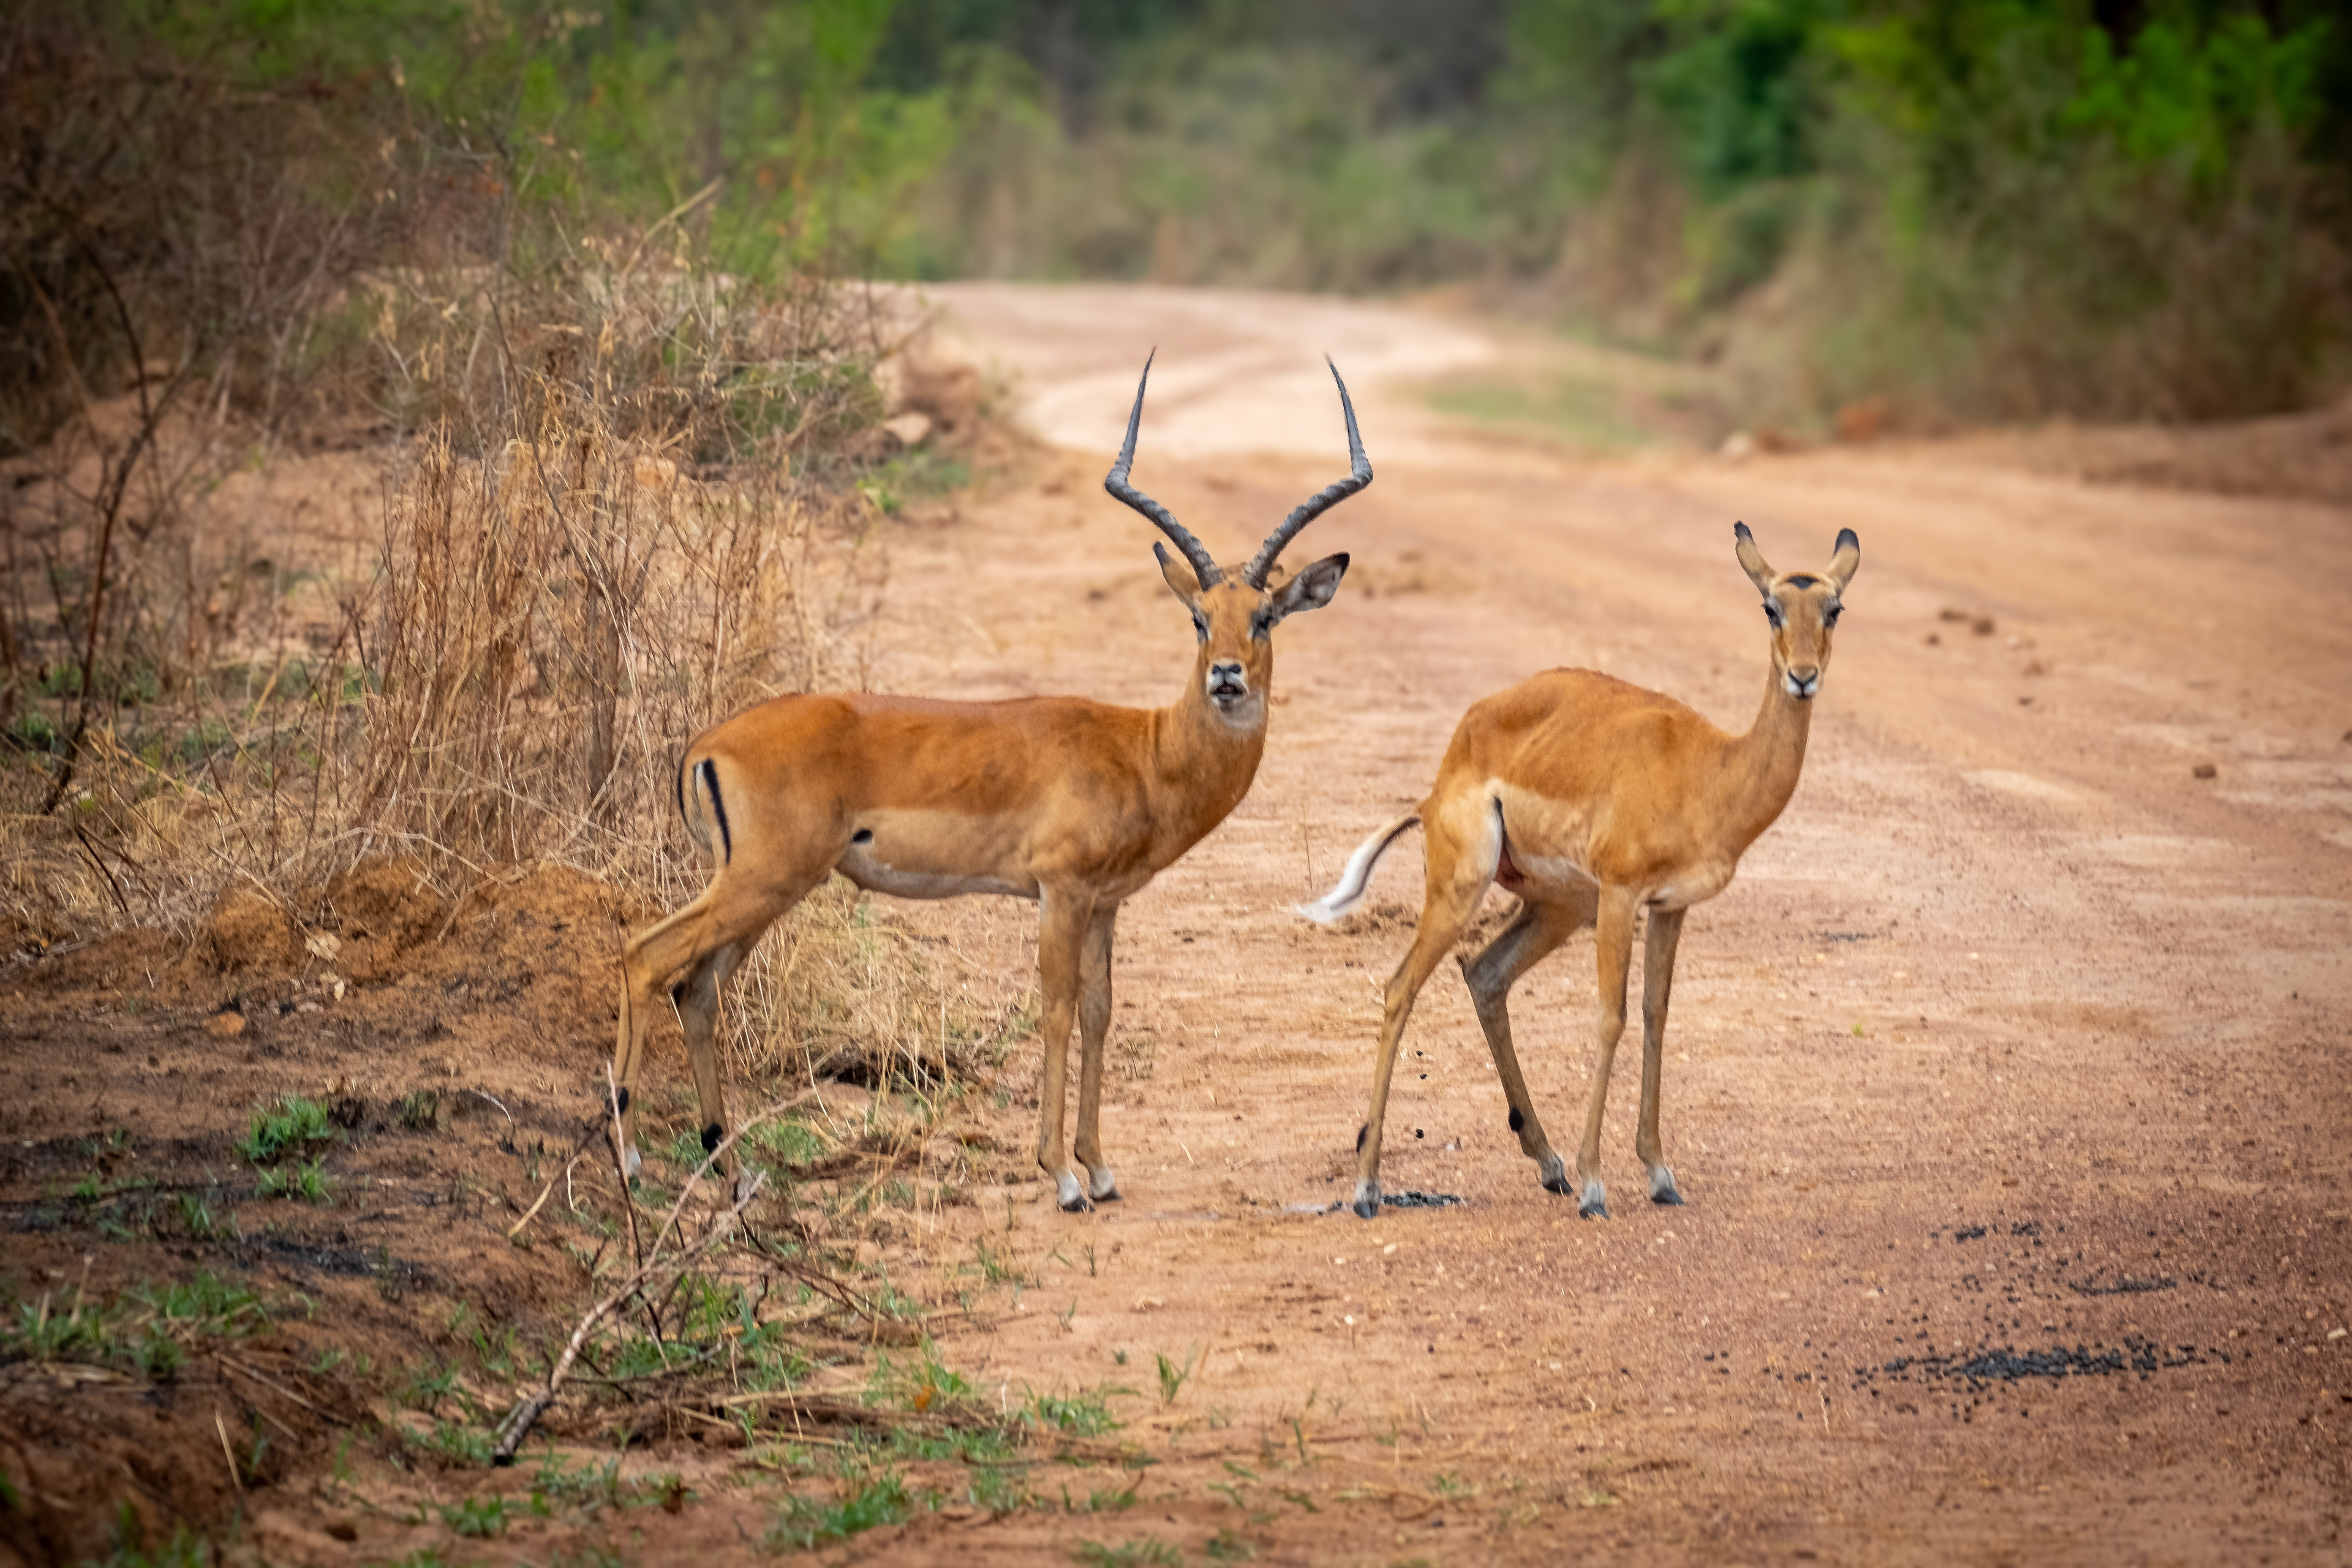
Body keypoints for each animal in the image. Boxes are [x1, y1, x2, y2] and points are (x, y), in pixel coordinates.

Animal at [614, 355, 1371, 1210]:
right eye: (1199, 618)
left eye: (1267, 616)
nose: (1228, 677)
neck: (1144, 751)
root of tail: (704, 744)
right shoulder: (1060, 891)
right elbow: (1057, 1012)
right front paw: (1063, 1178)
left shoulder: (1106, 904)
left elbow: (1101, 1013)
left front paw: (1100, 1169)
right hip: (763, 880)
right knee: (645, 956)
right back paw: (631, 1158)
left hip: (765, 890)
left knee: (696, 990)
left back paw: (733, 1169)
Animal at [1304, 524, 1860, 1220]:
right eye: (1771, 607)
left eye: (1834, 608)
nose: (1803, 677)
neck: (1708, 772)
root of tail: (1438, 785)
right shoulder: (1622, 895)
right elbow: (1611, 1016)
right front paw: (1598, 1185)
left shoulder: (1670, 906)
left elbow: (1655, 1015)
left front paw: (1659, 1174)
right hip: (1466, 888)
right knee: (1400, 985)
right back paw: (1368, 1187)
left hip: (1559, 907)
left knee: (1484, 974)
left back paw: (1549, 1166)